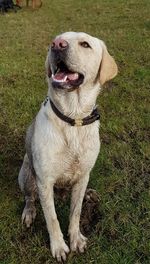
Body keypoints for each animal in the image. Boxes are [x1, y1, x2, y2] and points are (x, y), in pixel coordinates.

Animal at [18, 32, 118, 260]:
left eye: (85, 44)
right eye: (57, 39)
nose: (56, 44)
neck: (73, 117)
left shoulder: (82, 175)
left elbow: (75, 212)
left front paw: (76, 239)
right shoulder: (44, 180)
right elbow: (52, 218)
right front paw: (59, 246)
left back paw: (89, 193)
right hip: (27, 173)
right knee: (30, 197)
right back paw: (29, 212)